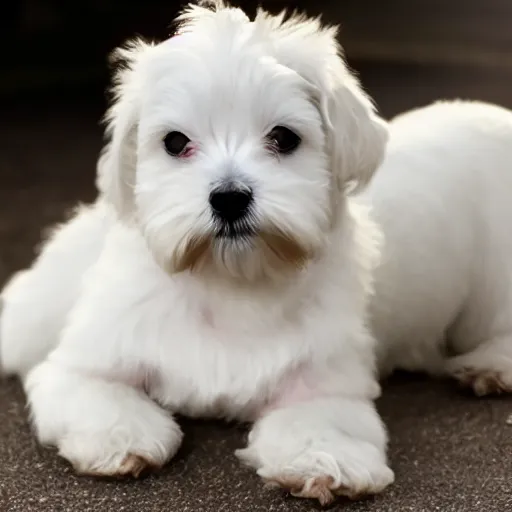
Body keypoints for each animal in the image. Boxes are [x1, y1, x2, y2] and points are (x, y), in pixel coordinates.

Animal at [1, 0, 512, 506]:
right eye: (175, 142)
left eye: (284, 137)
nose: (229, 197)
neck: (229, 284)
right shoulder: (91, 358)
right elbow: (92, 388)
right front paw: (122, 437)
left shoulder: (324, 378)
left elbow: (321, 420)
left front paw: (326, 462)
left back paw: (489, 366)